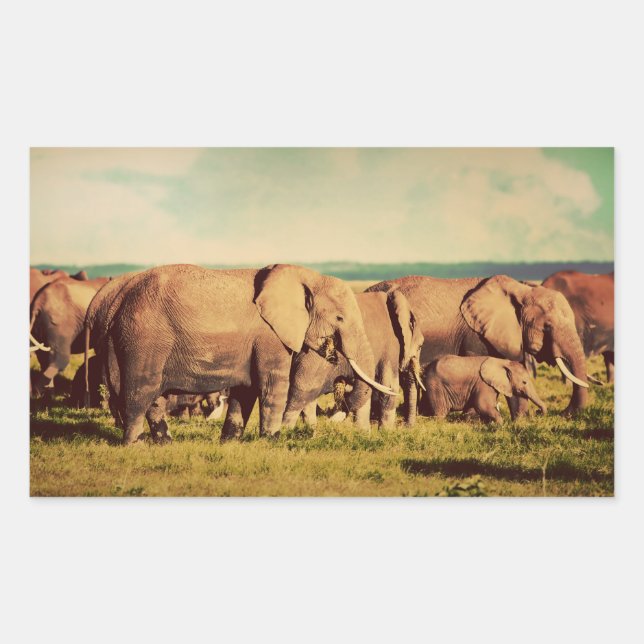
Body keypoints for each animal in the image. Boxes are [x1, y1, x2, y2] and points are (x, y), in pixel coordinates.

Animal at [84, 264, 396, 444]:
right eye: (340, 318)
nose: (333, 358)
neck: (304, 275)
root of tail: (116, 301)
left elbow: (245, 390)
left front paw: (231, 442)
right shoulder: (270, 336)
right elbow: (271, 386)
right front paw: (272, 442)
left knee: (153, 397)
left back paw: (164, 443)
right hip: (144, 339)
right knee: (141, 391)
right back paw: (134, 445)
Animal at [283, 290, 424, 430]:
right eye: (420, 346)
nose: (406, 426)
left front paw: (363, 431)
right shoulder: (391, 344)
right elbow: (389, 385)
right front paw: (384, 432)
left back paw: (311, 428)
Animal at [420, 355, 548, 423]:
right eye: (524, 382)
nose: (538, 412)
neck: (503, 361)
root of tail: (426, 366)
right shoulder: (484, 384)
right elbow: (482, 404)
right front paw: (500, 425)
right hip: (435, 385)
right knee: (440, 412)